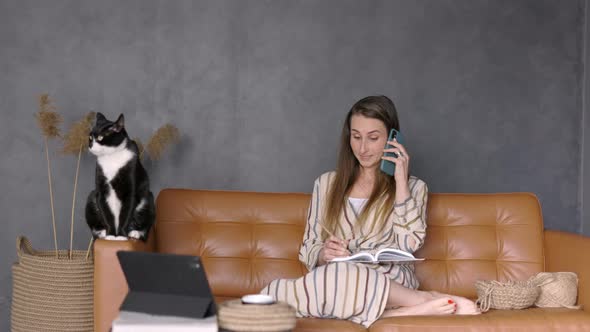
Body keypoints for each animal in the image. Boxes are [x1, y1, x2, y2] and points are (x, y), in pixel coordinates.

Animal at [86, 112, 156, 241]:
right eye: (90, 137)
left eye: (100, 138)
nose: (90, 146)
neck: (112, 157)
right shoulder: (102, 190)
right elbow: (106, 213)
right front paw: (110, 235)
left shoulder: (130, 188)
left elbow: (126, 213)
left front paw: (122, 236)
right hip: (91, 197)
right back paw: (102, 232)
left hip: (148, 199)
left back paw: (135, 233)